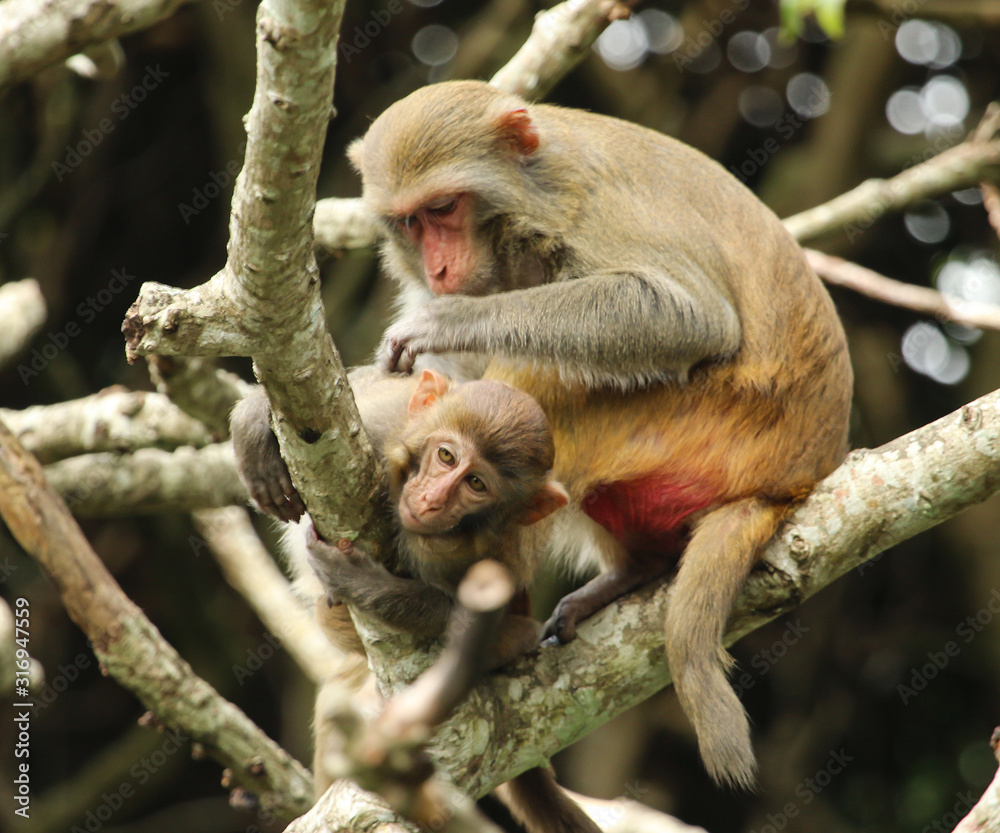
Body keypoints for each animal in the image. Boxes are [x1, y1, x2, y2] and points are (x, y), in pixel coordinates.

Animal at [345, 79, 854, 790]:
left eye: (443, 208)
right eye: (409, 223)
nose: (439, 270)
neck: (529, 197)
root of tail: (798, 477)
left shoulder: (588, 206)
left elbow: (689, 316)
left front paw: (454, 319)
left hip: (707, 420)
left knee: (542, 369)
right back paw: (632, 571)